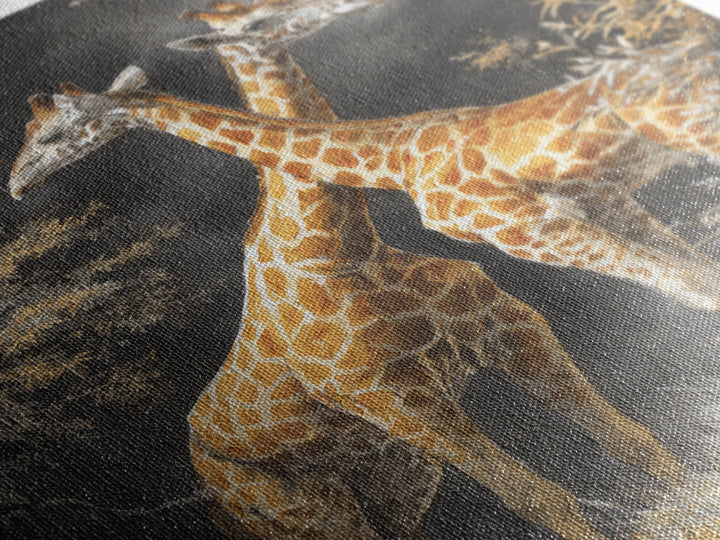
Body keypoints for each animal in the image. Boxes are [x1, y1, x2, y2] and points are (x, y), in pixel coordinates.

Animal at [8, 59, 691, 537]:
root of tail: (206, 481)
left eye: (48, 133)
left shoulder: (510, 328)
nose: (16, 186)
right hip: (313, 509)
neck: (341, 248)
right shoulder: (396, 400)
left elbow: (634, 440)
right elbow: (544, 496)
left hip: (399, 481)